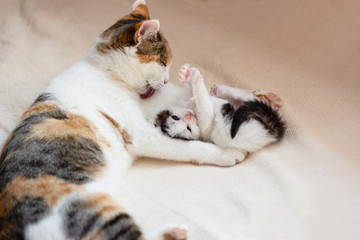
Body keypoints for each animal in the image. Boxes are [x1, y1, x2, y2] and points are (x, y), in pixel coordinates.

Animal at [1, 0, 242, 240]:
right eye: (163, 61)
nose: (166, 80)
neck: (103, 70)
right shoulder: (140, 133)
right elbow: (186, 147)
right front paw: (226, 152)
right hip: (88, 207)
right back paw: (173, 231)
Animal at [153, 64, 286, 157]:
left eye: (175, 117)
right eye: (188, 129)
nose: (188, 117)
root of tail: (272, 129)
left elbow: (193, 92)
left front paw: (186, 75)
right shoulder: (205, 126)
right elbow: (203, 100)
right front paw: (195, 80)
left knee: (246, 96)